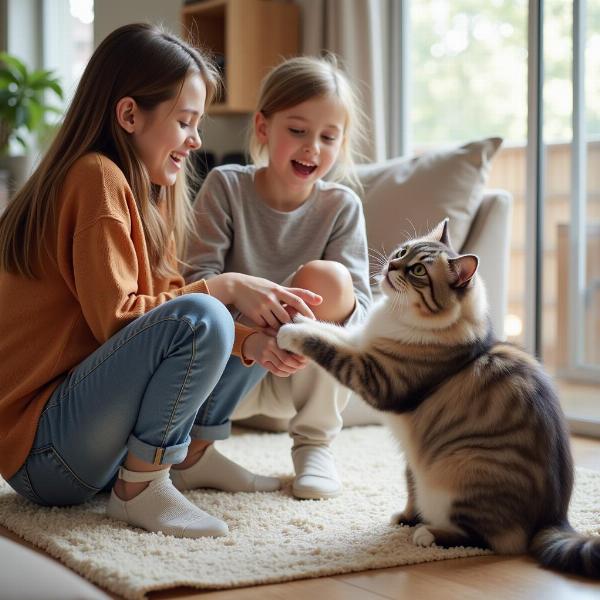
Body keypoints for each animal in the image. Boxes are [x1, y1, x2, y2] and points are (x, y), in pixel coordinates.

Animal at [278, 219, 600, 576]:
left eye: (418, 270)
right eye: (402, 252)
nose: (392, 266)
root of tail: (555, 518)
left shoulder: (374, 375)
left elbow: (324, 344)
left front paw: (288, 333)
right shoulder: (361, 341)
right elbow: (329, 329)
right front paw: (295, 317)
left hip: (460, 475)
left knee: (489, 540)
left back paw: (427, 534)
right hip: (422, 470)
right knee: (419, 494)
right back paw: (408, 520)